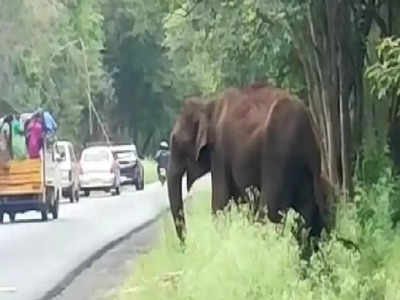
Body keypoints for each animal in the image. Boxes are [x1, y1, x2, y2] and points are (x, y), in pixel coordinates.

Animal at [167, 83, 332, 243]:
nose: (184, 246)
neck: (208, 104)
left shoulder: (220, 153)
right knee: (305, 216)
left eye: (175, 142)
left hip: (279, 150)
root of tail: (309, 127)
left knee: (270, 211)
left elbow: (220, 204)